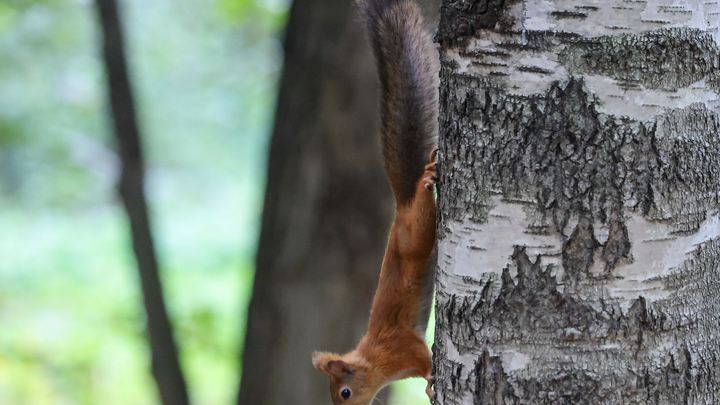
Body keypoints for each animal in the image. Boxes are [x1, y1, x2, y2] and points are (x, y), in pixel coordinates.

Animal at [310, 0, 438, 402]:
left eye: (344, 393)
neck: (373, 361)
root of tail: (401, 208)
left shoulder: (403, 347)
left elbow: (426, 360)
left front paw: (432, 382)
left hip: (415, 235)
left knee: (423, 213)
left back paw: (426, 181)